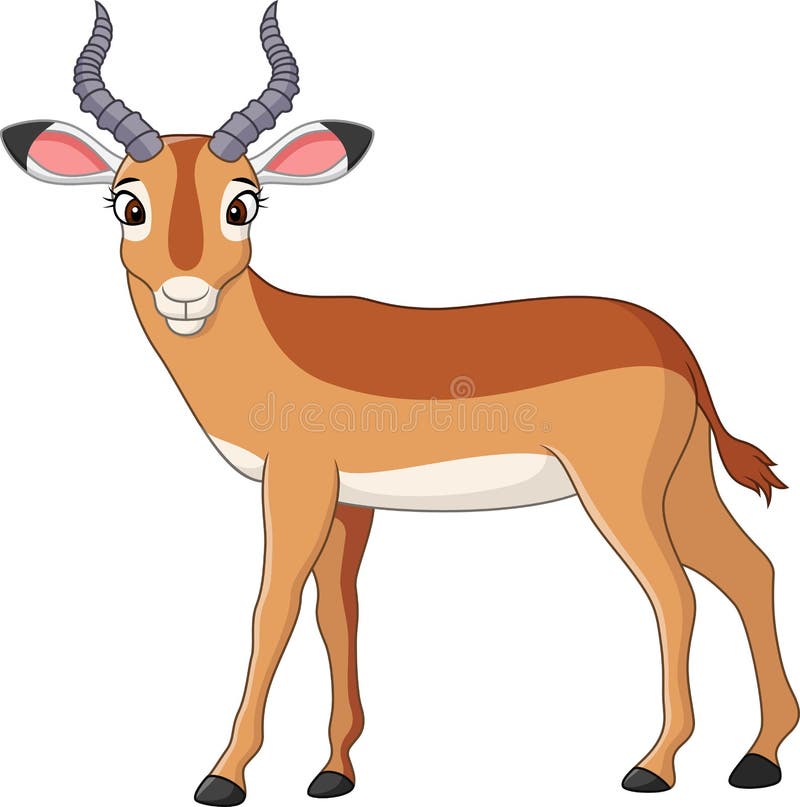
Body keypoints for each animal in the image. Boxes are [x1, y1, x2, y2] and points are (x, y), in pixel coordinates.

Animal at [2, 1, 798, 803]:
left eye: (243, 202)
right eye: (128, 203)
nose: (185, 292)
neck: (271, 343)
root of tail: (670, 341)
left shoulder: (295, 485)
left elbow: (272, 610)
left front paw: (222, 774)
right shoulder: (349, 503)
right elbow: (337, 614)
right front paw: (332, 770)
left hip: (620, 493)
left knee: (676, 593)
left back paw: (653, 764)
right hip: (679, 485)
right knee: (749, 570)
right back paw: (757, 759)